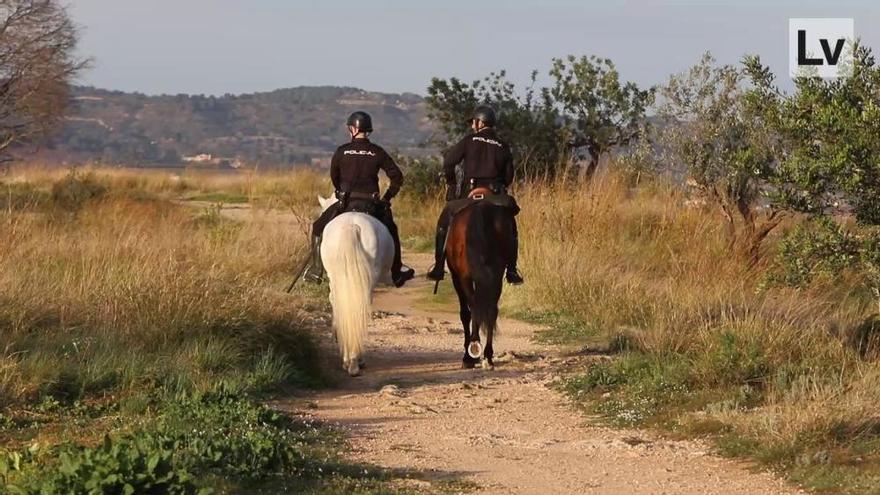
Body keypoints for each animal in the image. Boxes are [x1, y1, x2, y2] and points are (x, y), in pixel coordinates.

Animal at [446, 192, 516, 370]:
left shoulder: (458, 277)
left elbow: (466, 313)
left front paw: (469, 354)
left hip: (465, 278)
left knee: (473, 307)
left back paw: (472, 352)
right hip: (496, 276)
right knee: (491, 310)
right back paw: (487, 356)